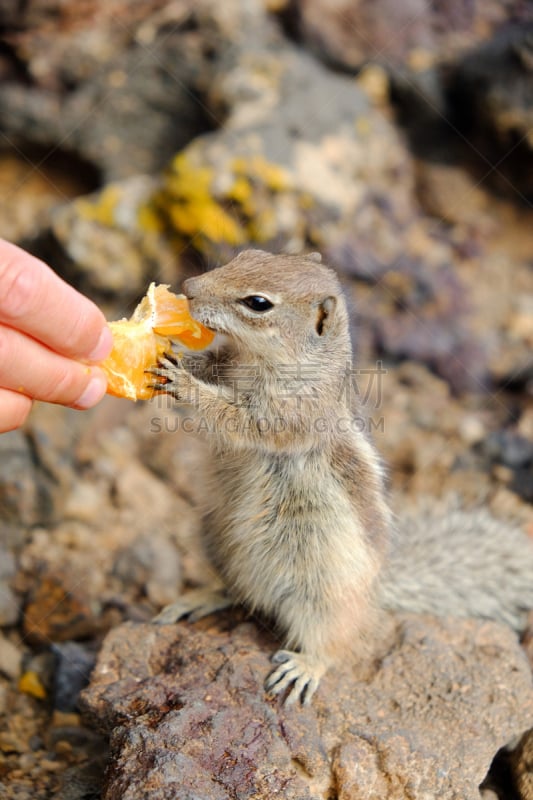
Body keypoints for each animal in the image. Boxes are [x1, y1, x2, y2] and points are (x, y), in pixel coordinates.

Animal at [151, 250, 533, 708]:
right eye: (245, 255)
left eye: (258, 303)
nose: (188, 287)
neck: (262, 360)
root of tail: (374, 593)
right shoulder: (227, 364)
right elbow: (210, 368)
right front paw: (168, 352)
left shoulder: (292, 414)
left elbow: (242, 421)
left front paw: (185, 384)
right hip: (215, 539)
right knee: (237, 591)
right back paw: (200, 598)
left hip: (322, 592)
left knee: (332, 641)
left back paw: (305, 667)